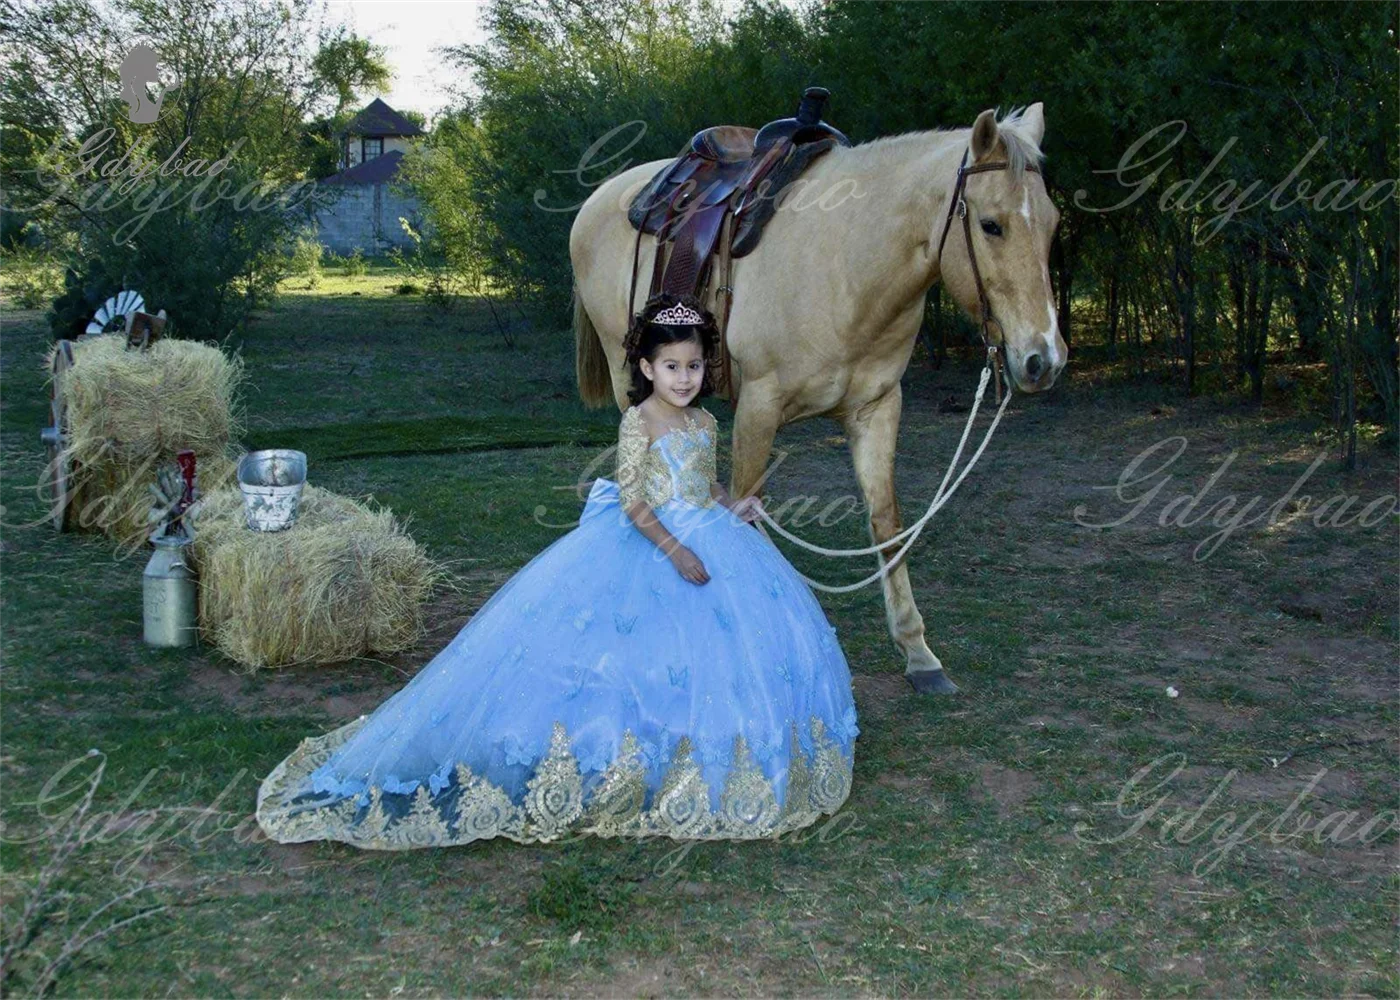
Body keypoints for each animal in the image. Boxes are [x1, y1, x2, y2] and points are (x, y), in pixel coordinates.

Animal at [568, 102, 1058, 694]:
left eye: (1053, 224)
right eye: (991, 225)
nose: (1044, 359)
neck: (846, 264)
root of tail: (602, 197)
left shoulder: (877, 407)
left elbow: (886, 522)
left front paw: (918, 652)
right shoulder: (758, 406)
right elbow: (745, 517)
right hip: (629, 386)